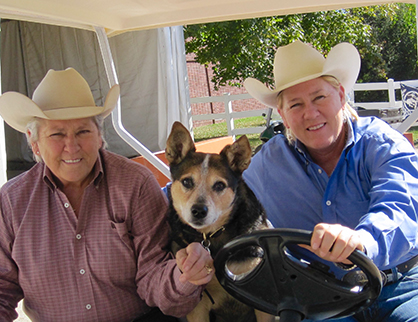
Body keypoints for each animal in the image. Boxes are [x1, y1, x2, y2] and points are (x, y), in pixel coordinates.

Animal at [163, 122, 274, 322]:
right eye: (187, 181)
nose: (199, 211)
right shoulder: (197, 306)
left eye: (220, 185)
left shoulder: (262, 296)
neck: (211, 237)